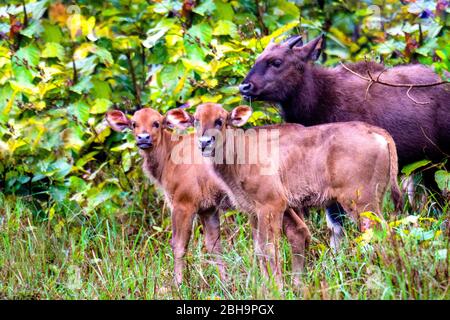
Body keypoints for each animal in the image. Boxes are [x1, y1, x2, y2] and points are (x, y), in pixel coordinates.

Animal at [107, 108, 230, 284]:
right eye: (134, 123)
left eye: (156, 123)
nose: (143, 138)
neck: (169, 158)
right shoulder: (208, 208)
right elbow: (214, 245)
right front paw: (225, 283)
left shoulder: (183, 204)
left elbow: (178, 246)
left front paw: (178, 284)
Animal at [167, 104, 402, 288]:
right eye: (196, 120)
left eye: (220, 120)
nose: (204, 142)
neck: (241, 154)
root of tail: (377, 132)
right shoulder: (255, 211)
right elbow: (259, 249)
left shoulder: (272, 206)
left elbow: (270, 249)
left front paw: (276, 286)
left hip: (362, 203)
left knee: (379, 235)